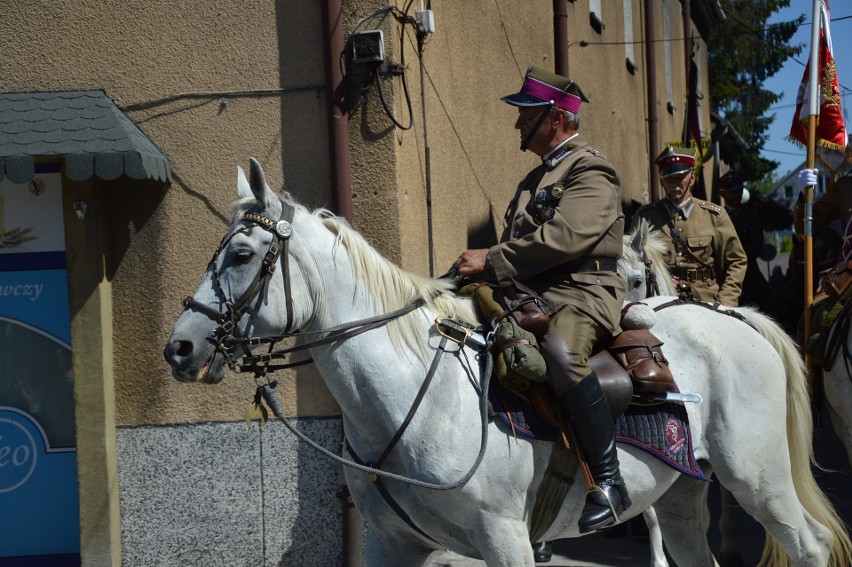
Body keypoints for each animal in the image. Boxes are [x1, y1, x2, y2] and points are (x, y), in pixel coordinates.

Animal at [163, 160, 848, 567]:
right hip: (682, 494)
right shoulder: (392, 543)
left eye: (242, 254)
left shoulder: (505, 539)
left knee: (810, 547)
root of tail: (734, 318)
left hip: (759, 479)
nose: (180, 347)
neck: (416, 399)